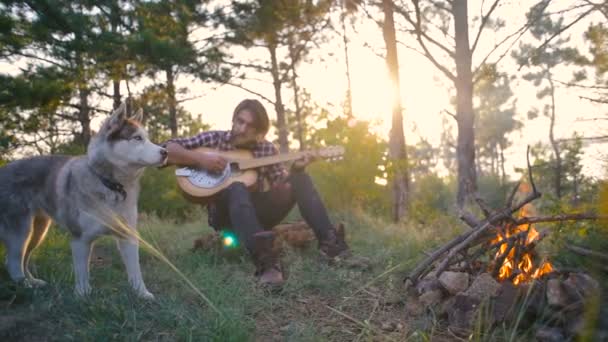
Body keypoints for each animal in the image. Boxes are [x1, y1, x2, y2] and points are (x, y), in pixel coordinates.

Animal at [0, 103, 166, 298]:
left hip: (38, 231)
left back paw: (33, 282)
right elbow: (82, 272)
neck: (110, 185)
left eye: (147, 138)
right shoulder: (80, 238)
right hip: (20, 231)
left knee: (24, 259)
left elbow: (135, 271)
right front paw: (82, 295)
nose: (165, 152)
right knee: (13, 262)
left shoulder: (128, 235)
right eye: (137, 138)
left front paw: (142, 293)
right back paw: (25, 287)